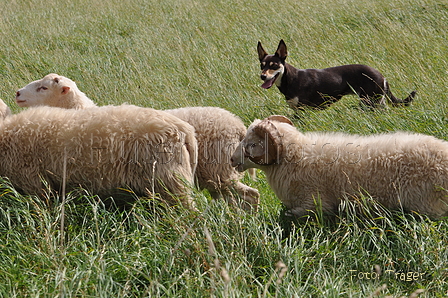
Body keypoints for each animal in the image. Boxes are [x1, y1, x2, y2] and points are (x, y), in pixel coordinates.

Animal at [231, 115, 448, 218]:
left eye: (252, 144)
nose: (232, 160)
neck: (296, 157)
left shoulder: (314, 202)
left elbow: (295, 213)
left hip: (425, 204)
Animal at [260, 39, 416, 109]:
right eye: (262, 65)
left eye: (274, 66)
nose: (262, 76)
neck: (291, 79)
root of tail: (381, 75)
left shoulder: (303, 111)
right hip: (377, 101)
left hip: (369, 102)